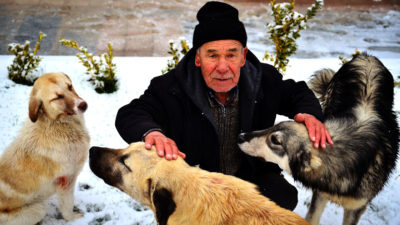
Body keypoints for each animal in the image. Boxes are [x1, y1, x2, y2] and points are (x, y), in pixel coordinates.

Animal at [0, 72, 90, 225]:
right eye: (57, 97)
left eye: (70, 86)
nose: (83, 105)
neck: (56, 124)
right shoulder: (66, 180)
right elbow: (67, 206)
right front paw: (73, 218)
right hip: (38, 209)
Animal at [239, 53, 398, 225]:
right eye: (273, 127)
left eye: (275, 140)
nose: (240, 136)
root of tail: (367, 56)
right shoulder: (320, 195)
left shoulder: (356, 208)